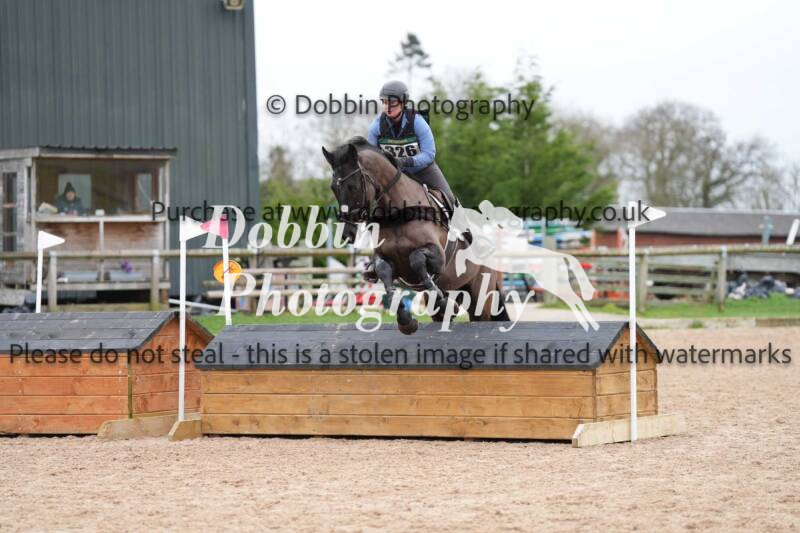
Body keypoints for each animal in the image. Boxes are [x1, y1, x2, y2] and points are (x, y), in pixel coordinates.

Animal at [322, 137, 510, 335]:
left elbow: (417, 259)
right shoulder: (386, 260)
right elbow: (383, 271)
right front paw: (405, 320)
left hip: (480, 296)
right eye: (333, 188)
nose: (347, 233)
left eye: (353, 186)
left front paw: (443, 302)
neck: (398, 216)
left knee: (480, 316)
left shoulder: (438, 256)